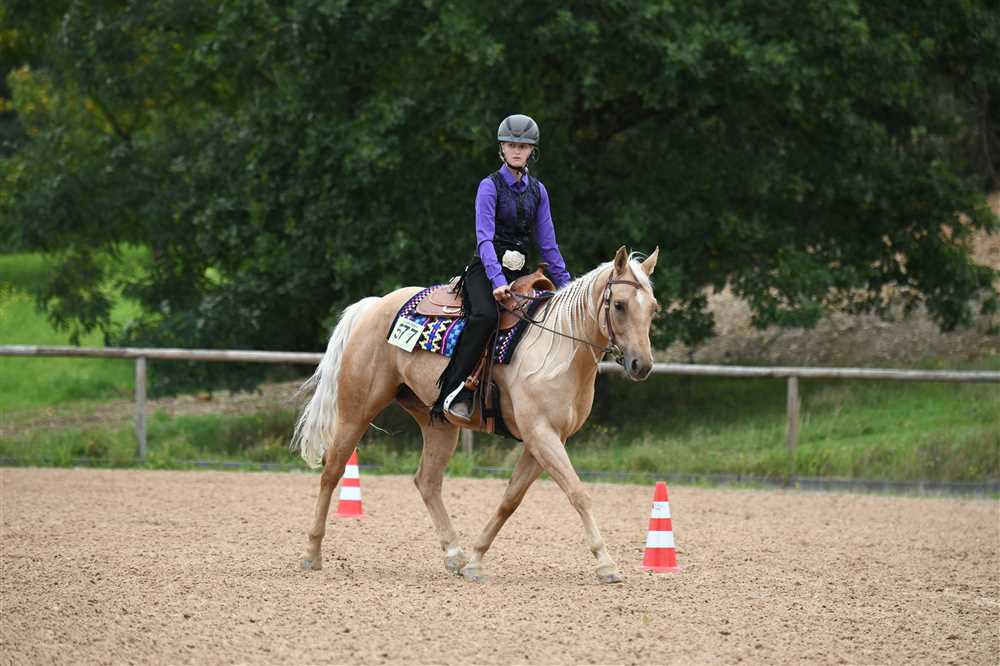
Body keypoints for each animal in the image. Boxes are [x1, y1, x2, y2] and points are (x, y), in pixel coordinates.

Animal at [291, 245, 660, 583]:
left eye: (653, 308)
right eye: (619, 305)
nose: (642, 365)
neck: (559, 350)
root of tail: (374, 305)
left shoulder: (544, 440)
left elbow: (510, 500)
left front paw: (475, 559)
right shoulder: (541, 434)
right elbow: (578, 493)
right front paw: (606, 563)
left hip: (437, 423)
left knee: (427, 481)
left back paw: (455, 555)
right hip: (357, 409)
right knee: (332, 470)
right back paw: (312, 553)